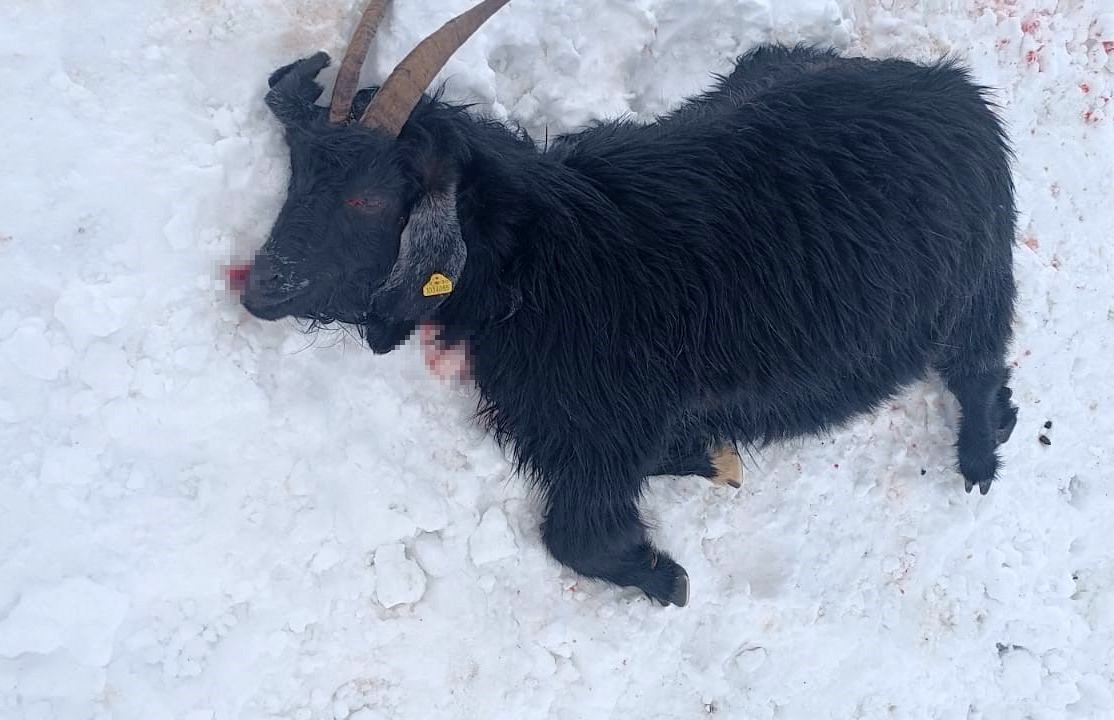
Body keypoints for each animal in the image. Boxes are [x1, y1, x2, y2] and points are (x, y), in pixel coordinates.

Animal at [241, 0, 1020, 610]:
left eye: (369, 198)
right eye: (296, 172)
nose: (261, 288)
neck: (536, 255)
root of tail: (951, 88)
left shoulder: (598, 432)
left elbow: (574, 539)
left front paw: (662, 573)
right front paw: (703, 459)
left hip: (979, 282)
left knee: (978, 365)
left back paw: (983, 452)